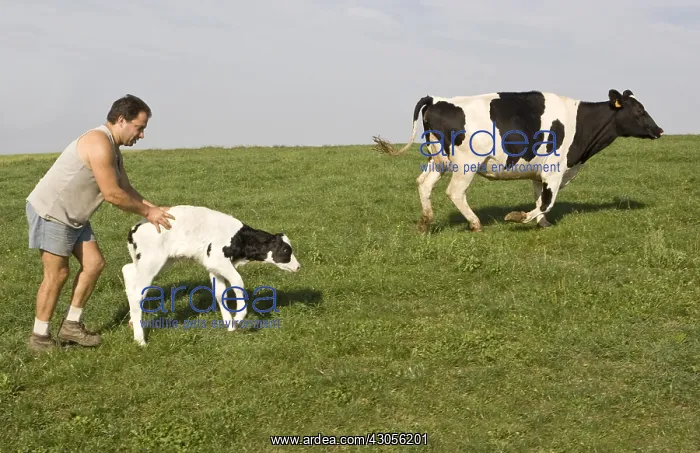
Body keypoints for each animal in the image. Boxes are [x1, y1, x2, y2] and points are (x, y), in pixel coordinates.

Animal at [372, 89, 664, 232]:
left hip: (438, 160)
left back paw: (425, 222)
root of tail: (436, 99)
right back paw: (475, 224)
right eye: (639, 110)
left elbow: (539, 200)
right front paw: (518, 217)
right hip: (466, 163)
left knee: (423, 183)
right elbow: (546, 202)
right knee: (455, 192)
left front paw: (543, 224)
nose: (659, 129)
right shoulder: (554, 171)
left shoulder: (539, 173)